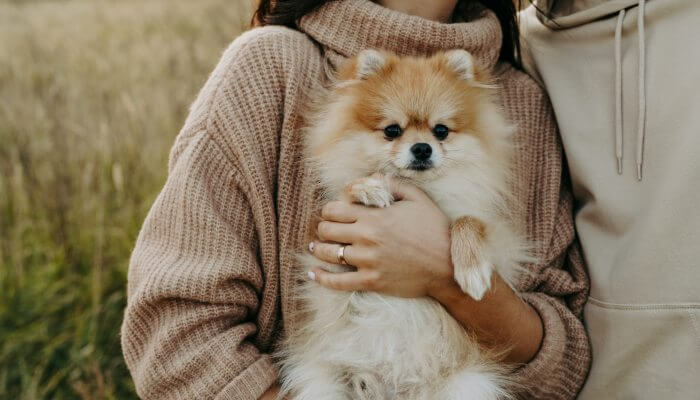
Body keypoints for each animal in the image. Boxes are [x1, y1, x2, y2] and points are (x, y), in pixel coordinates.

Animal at [278, 49, 532, 400]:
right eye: (392, 131)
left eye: (441, 131)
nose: (422, 148)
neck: (422, 190)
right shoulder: (333, 251)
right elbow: (349, 188)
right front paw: (369, 187)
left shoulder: (499, 240)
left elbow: (467, 221)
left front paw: (472, 272)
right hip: (323, 384)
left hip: (468, 385)